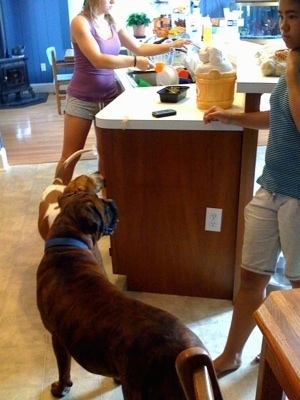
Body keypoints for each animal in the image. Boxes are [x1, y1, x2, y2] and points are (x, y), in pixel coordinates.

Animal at [36, 191, 210, 400]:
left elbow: (64, 368)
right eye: (103, 205)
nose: (111, 201)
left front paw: (61, 389)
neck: (67, 242)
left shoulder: (56, 337)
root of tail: (184, 352)